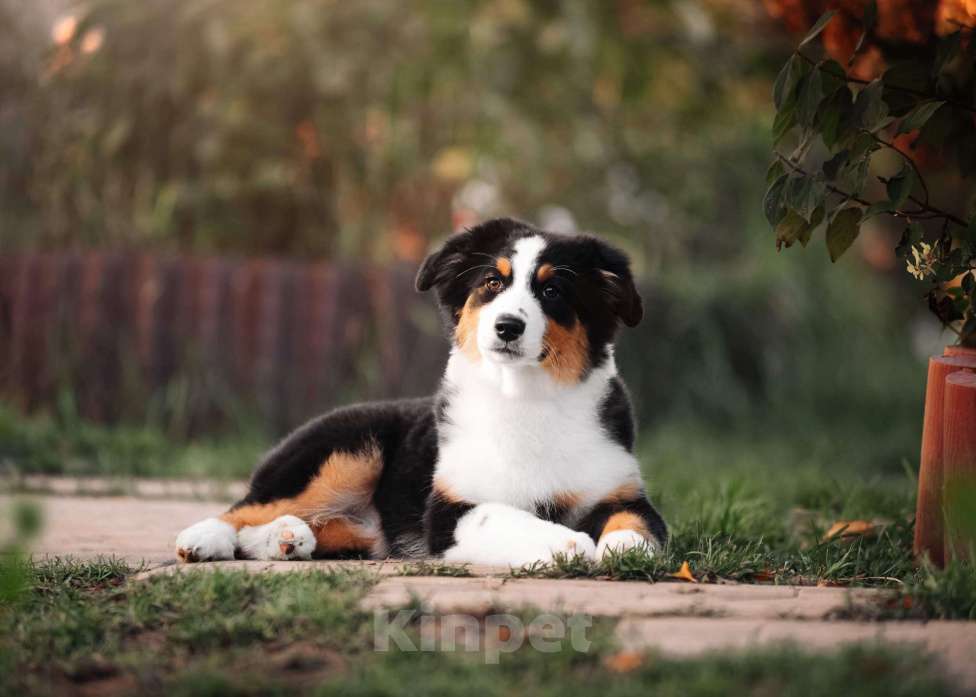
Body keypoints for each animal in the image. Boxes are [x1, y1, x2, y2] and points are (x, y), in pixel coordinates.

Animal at [175, 218, 668, 564]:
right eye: (492, 283)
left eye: (553, 290)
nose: (507, 326)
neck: (524, 398)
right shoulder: (450, 512)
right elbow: (500, 514)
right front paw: (569, 544)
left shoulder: (620, 490)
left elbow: (640, 522)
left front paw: (625, 549)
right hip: (344, 451)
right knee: (245, 508)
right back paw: (203, 539)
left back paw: (288, 539)